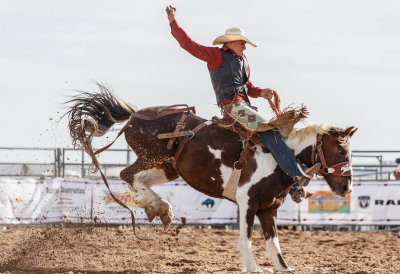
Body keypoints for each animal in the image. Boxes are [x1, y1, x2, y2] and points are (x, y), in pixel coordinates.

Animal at [65, 84, 356, 272]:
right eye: (341, 151)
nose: (346, 187)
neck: (277, 158)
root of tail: (135, 114)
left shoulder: (268, 208)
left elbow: (274, 245)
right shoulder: (248, 202)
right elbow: (246, 237)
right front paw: (252, 267)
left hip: (168, 167)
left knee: (137, 178)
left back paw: (161, 209)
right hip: (151, 156)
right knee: (127, 173)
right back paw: (159, 207)